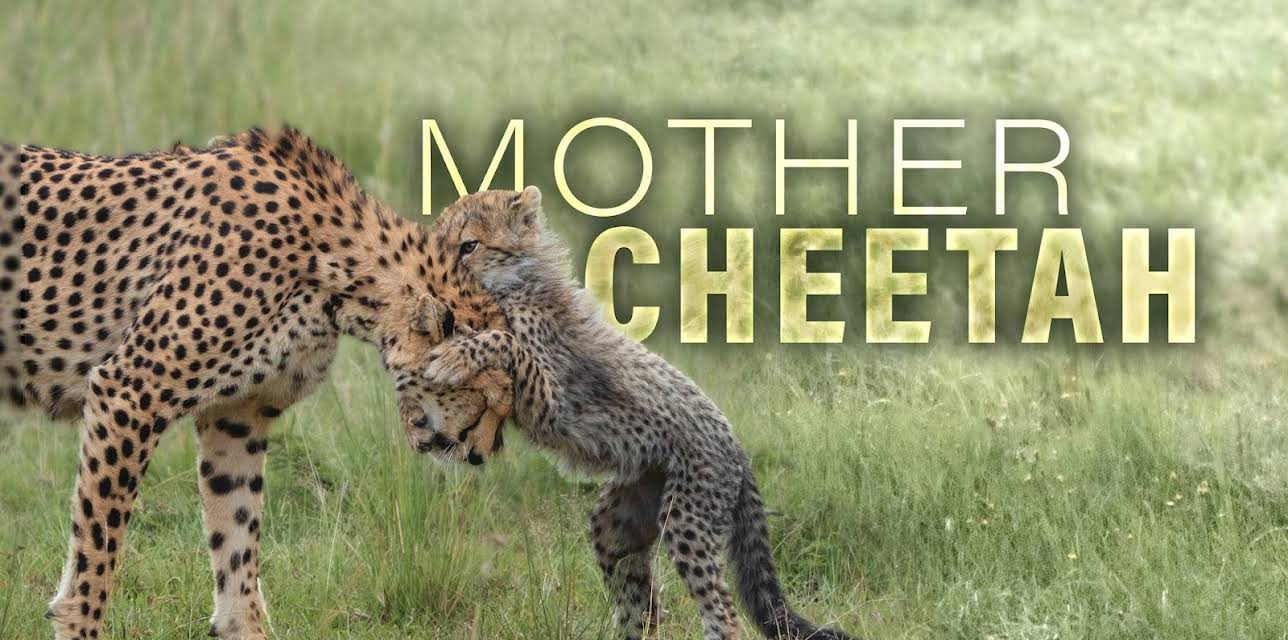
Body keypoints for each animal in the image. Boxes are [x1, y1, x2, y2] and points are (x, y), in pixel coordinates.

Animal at [0, 128, 512, 640]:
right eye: (486, 396)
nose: (484, 454)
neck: (336, 272)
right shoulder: (129, 390)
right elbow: (99, 541)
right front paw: (79, 625)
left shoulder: (237, 416)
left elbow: (237, 532)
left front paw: (242, 626)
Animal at [411, 187, 856, 640]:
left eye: (469, 245)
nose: (431, 272)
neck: (515, 283)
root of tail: (736, 443)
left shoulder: (552, 403)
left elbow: (504, 341)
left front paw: (453, 353)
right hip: (621, 516)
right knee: (639, 603)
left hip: (687, 519)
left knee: (724, 615)